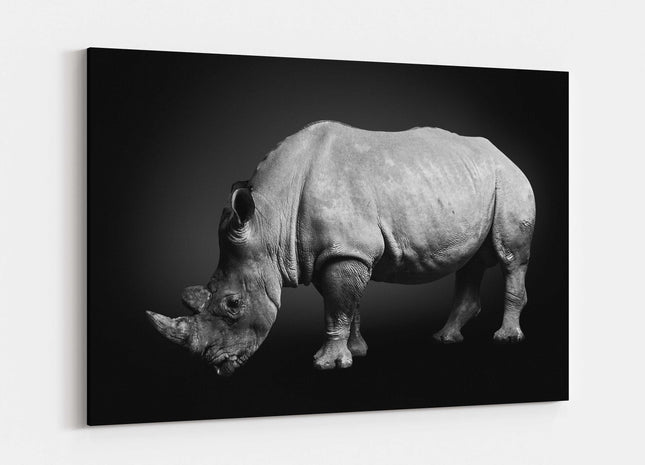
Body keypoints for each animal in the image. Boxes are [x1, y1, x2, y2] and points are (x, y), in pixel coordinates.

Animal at [146, 121, 535, 376]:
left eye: (233, 304)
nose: (217, 365)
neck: (270, 221)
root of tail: (504, 153)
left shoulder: (346, 252)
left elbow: (336, 307)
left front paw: (327, 363)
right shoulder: (332, 252)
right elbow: (348, 304)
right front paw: (357, 351)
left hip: (509, 180)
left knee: (511, 258)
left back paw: (506, 338)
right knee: (472, 261)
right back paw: (445, 338)